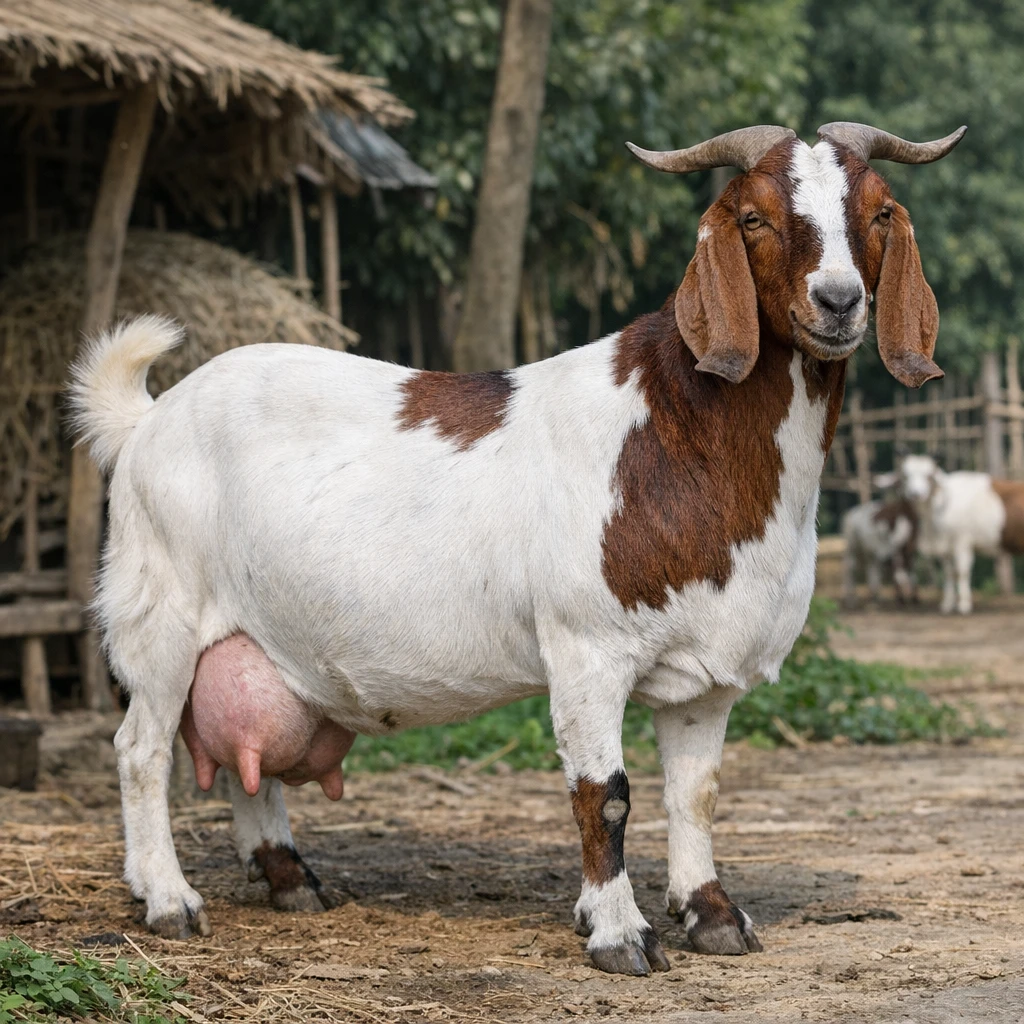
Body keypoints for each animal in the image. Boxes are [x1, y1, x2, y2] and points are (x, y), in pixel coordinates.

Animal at [69, 121, 963, 975]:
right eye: (754, 217)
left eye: (879, 212)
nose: (839, 301)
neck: (680, 433)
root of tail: (147, 419)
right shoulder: (586, 648)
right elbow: (605, 795)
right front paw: (619, 934)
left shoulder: (708, 676)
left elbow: (696, 793)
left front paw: (712, 915)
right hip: (158, 615)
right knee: (140, 750)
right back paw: (168, 900)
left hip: (254, 640)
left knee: (245, 755)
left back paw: (290, 879)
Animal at [885, 454, 1023, 614]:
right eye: (906, 476)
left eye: (928, 476)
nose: (916, 494)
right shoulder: (946, 548)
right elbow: (949, 573)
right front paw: (947, 604)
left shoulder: (962, 542)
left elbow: (962, 573)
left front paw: (964, 604)